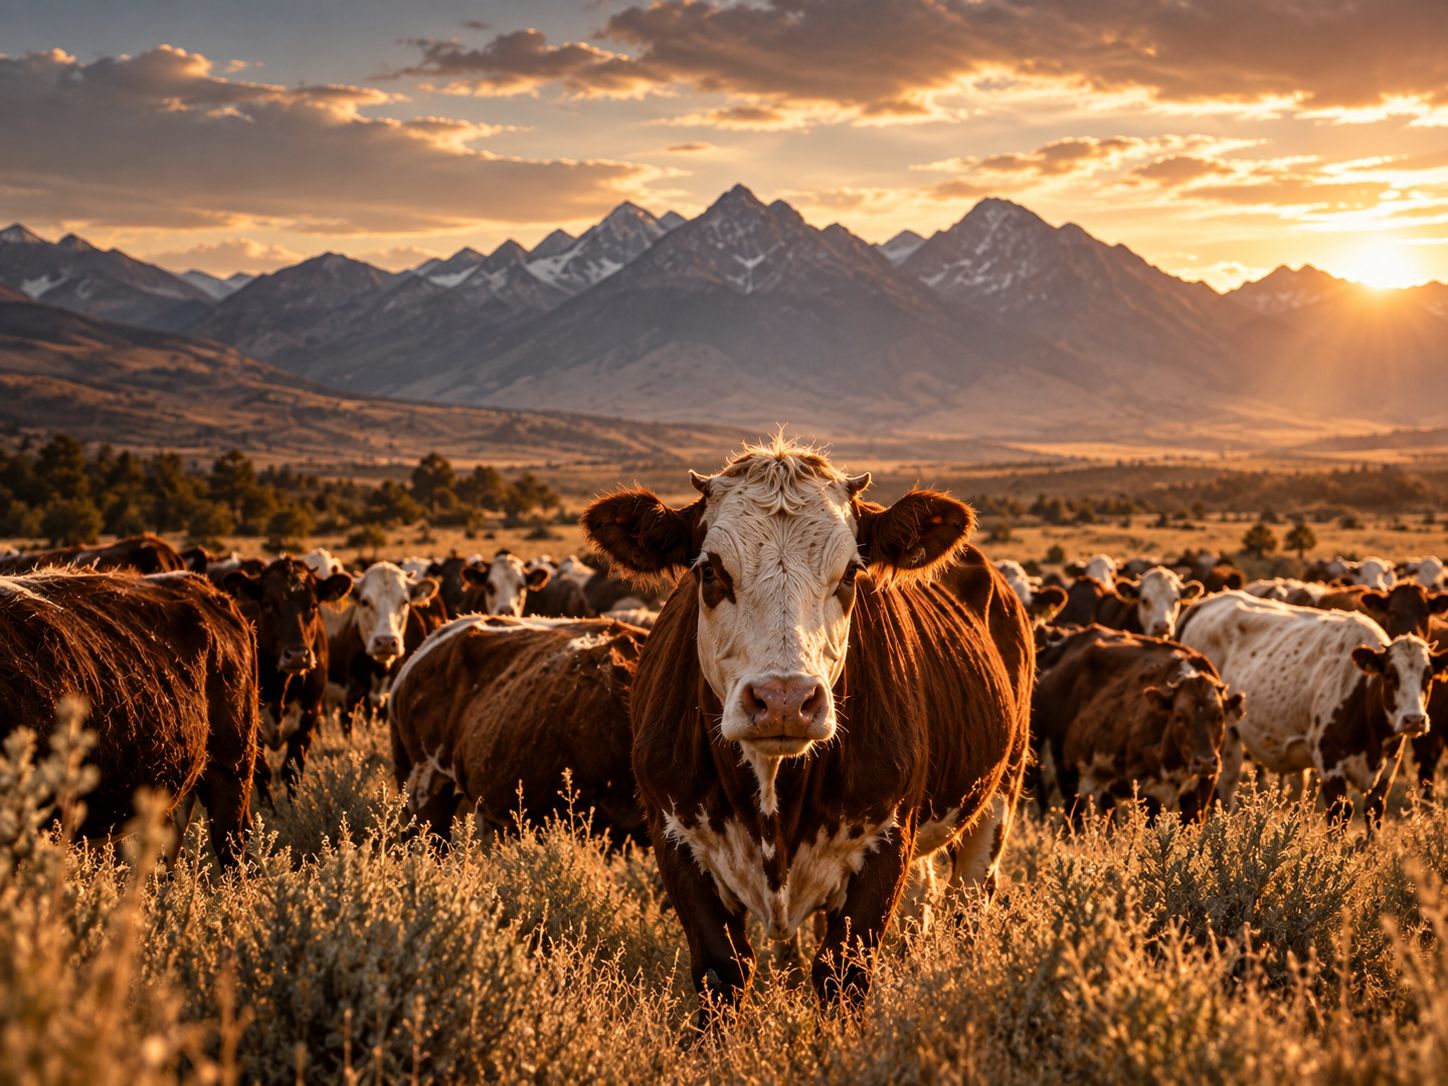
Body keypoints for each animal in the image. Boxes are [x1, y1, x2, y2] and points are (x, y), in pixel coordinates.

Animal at [222, 557, 351, 792]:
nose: (297, 655)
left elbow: (292, 773)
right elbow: (262, 775)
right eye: (267, 604)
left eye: (313, 605)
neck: (281, 688)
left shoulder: (308, 720)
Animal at [581, 440, 1032, 1010]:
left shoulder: (886, 845)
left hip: (998, 799)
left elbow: (844, 975)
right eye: (710, 572)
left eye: (850, 573)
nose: (783, 701)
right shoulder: (676, 841)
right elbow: (722, 972)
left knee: (968, 903)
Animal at [1032, 626, 1242, 822]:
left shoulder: (1203, 786)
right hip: (1064, 768)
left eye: (1219, 716)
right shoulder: (1147, 787)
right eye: (1179, 717)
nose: (1205, 761)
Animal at [1176, 591, 1448, 821]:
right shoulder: (1329, 762)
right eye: (1390, 675)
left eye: (1428, 676)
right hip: (1224, 742)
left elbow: (1374, 811)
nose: (1414, 719)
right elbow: (1340, 812)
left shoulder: (1389, 766)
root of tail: (1208, 601)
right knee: (1221, 793)